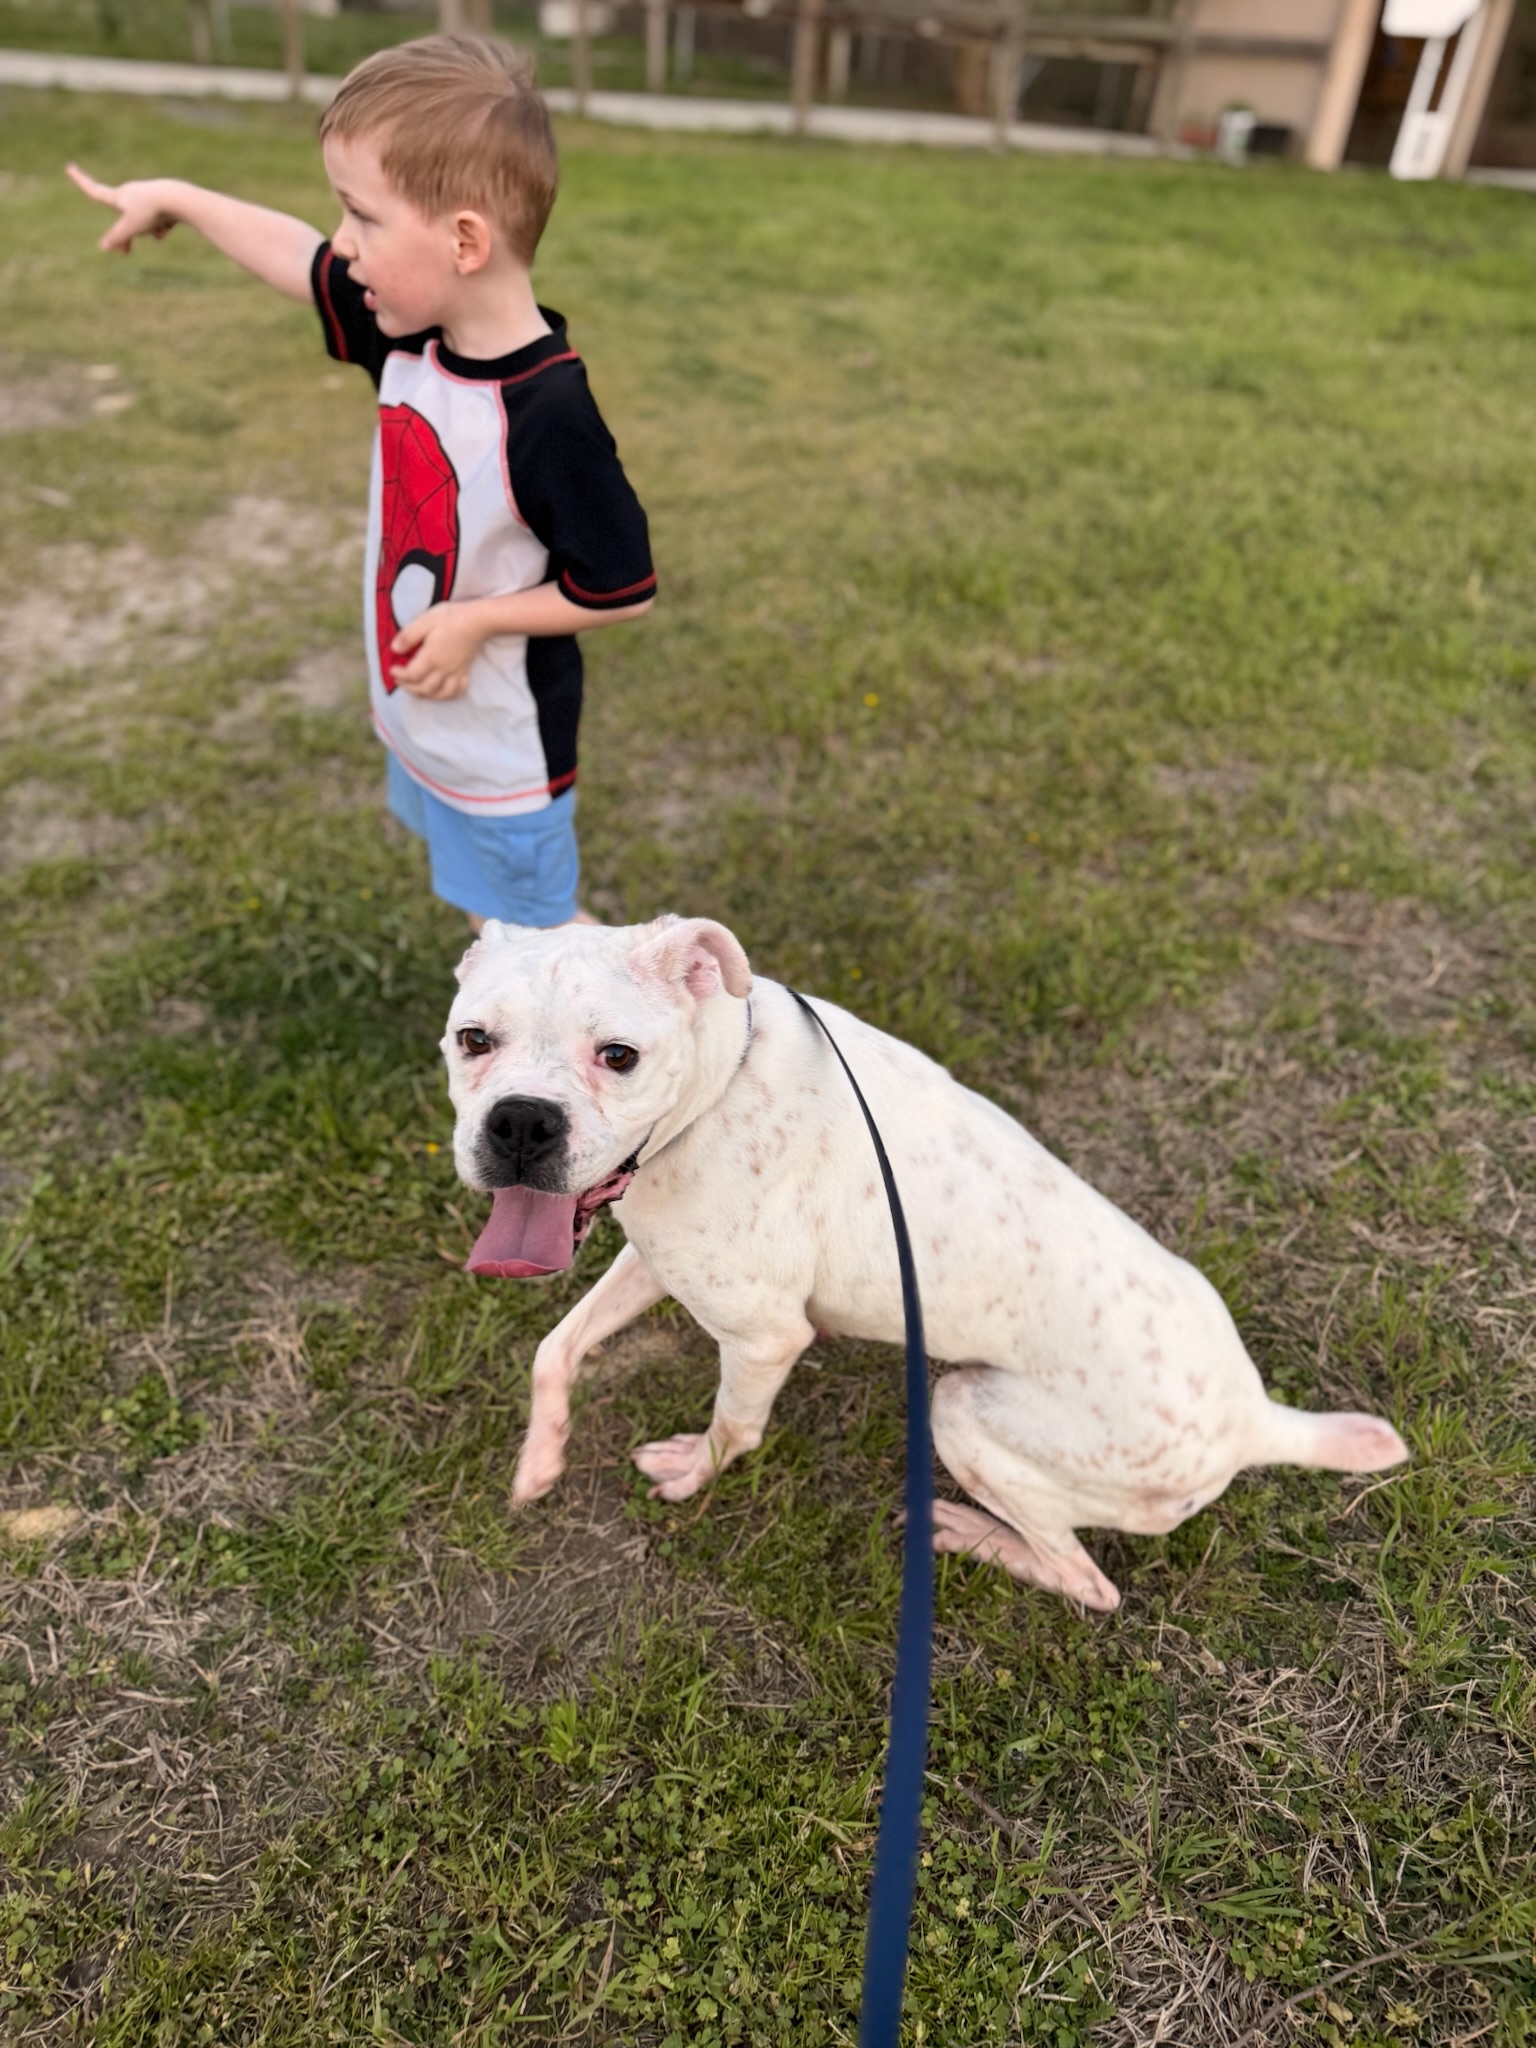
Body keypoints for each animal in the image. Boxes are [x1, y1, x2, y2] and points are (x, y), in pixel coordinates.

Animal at [443, 914, 1407, 1610]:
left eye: (620, 1057)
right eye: (472, 1040)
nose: (522, 1123)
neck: (716, 1088)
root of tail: (1257, 1421)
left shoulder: (763, 1337)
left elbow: (733, 1426)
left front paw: (692, 1472)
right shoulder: (654, 1260)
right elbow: (555, 1349)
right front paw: (541, 1460)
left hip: (967, 1415)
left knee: (1090, 1584)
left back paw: (975, 1536)